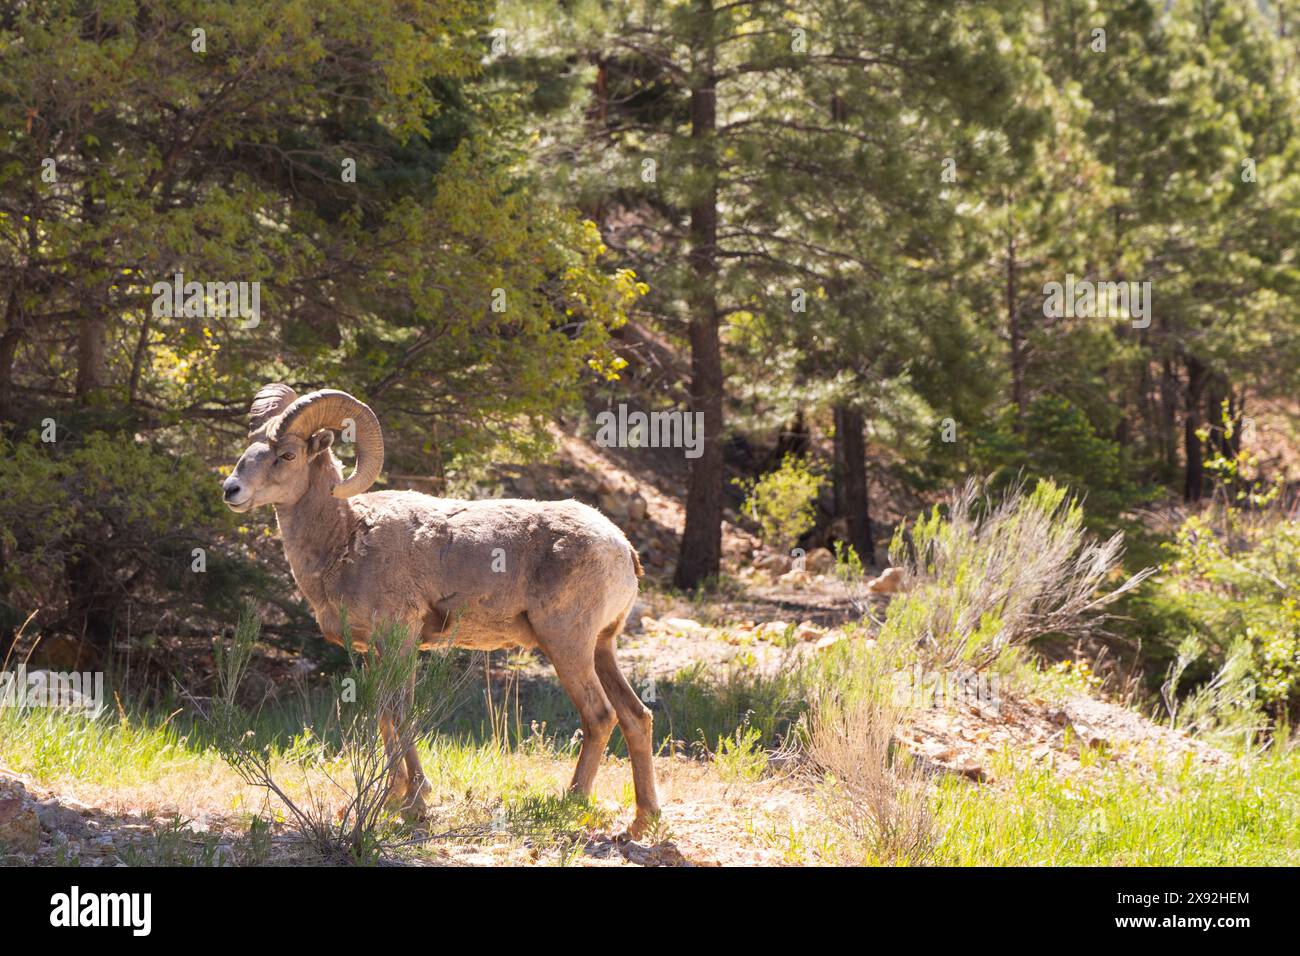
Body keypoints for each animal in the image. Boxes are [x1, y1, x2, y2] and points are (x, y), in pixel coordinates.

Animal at [222, 387, 660, 837]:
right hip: (602, 648)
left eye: (287, 454)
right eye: (250, 446)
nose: (231, 489)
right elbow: (385, 715)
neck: (345, 538)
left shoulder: (399, 640)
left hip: (567, 645)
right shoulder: (377, 650)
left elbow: (400, 713)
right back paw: (642, 822)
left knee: (600, 716)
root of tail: (622, 547)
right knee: (636, 716)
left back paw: (571, 802)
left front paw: (415, 805)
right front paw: (394, 800)